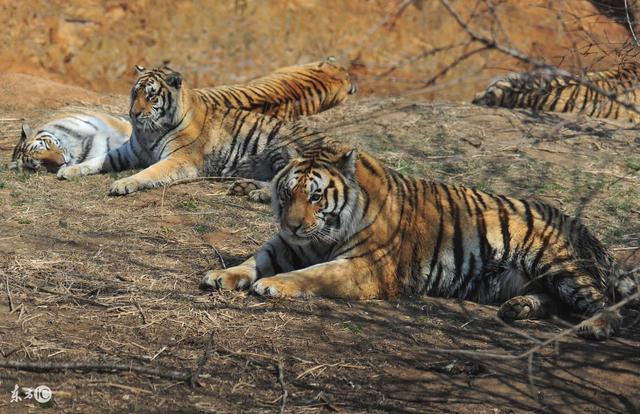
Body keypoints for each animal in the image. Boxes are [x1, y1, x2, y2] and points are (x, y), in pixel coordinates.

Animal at [57, 62, 350, 196]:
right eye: (135, 93)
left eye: (151, 96)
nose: (134, 114)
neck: (148, 131)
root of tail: (348, 150)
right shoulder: (130, 152)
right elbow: (97, 160)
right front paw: (69, 170)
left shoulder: (179, 159)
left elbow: (150, 172)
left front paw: (123, 183)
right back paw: (244, 187)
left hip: (286, 150)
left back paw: (255, 193)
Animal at [199, 147, 636, 342]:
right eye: (287, 193)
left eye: (317, 197)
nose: (291, 224)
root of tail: (582, 227)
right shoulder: (286, 246)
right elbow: (252, 259)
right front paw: (222, 274)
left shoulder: (362, 267)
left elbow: (311, 275)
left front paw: (274, 285)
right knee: (555, 301)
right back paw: (518, 309)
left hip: (558, 263)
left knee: (606, 303)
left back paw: (596, 326)